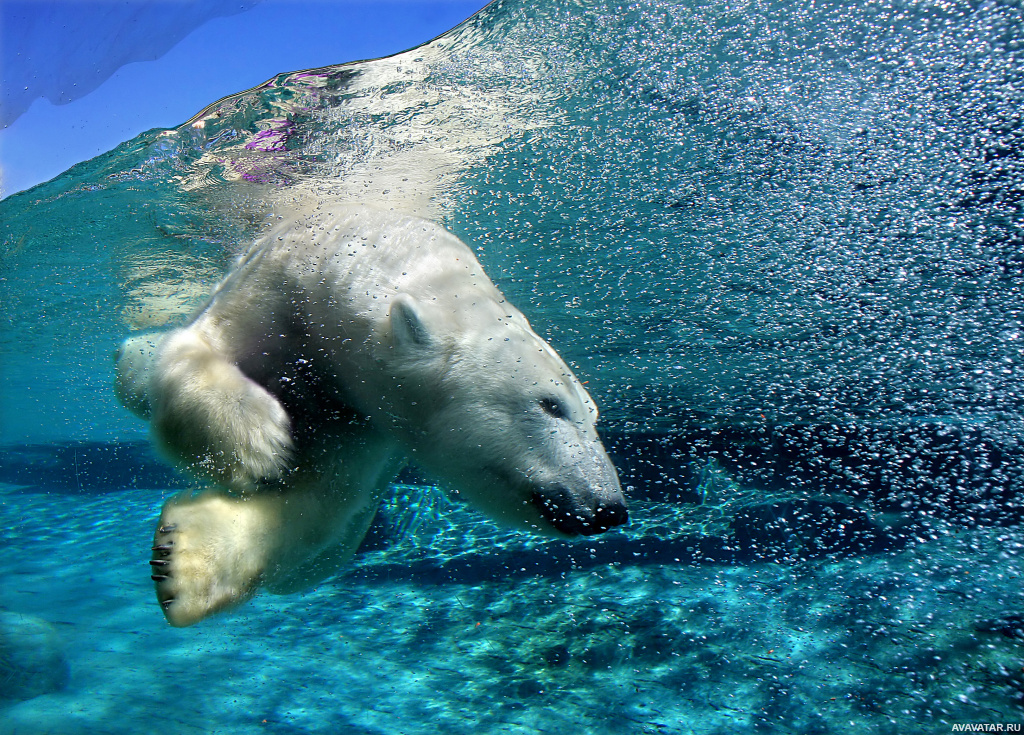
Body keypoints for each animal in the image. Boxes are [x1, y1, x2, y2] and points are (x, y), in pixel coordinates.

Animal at [112, 201, 622, 626]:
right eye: (550, 405)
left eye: (593, 416)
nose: (608, 508)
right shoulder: (275, 287)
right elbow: (198, 349)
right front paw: (258, 441)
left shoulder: (367, 420)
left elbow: (323, 499)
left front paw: (182, 561)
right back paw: (132, 357)